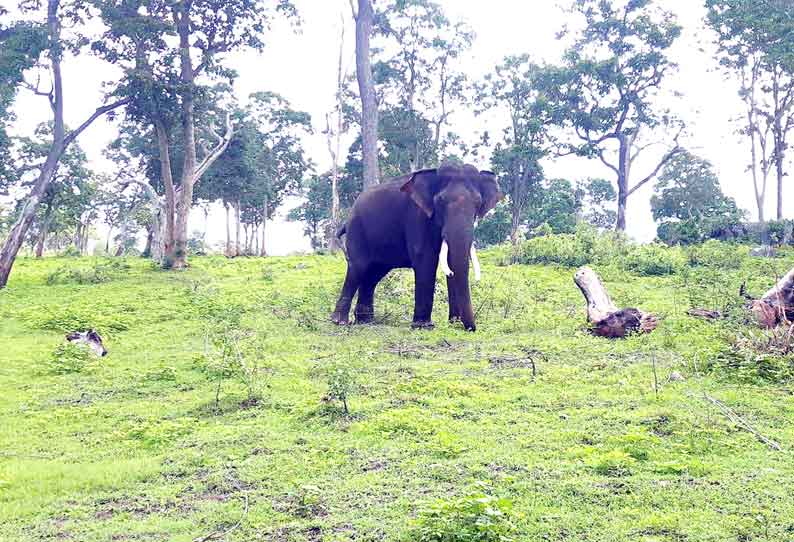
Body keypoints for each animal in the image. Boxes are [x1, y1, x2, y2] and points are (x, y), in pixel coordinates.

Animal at [332, 163, 498, 332]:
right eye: (440, 201)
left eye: (478, 203)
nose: (471, 328)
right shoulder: (417, 215)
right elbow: (425, 259)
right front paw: (424, 326)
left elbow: (451, 263)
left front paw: (454, 323)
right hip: (357, 230)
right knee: (358, 268)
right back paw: (340, 322)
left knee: (373, 275)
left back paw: (366, 321)